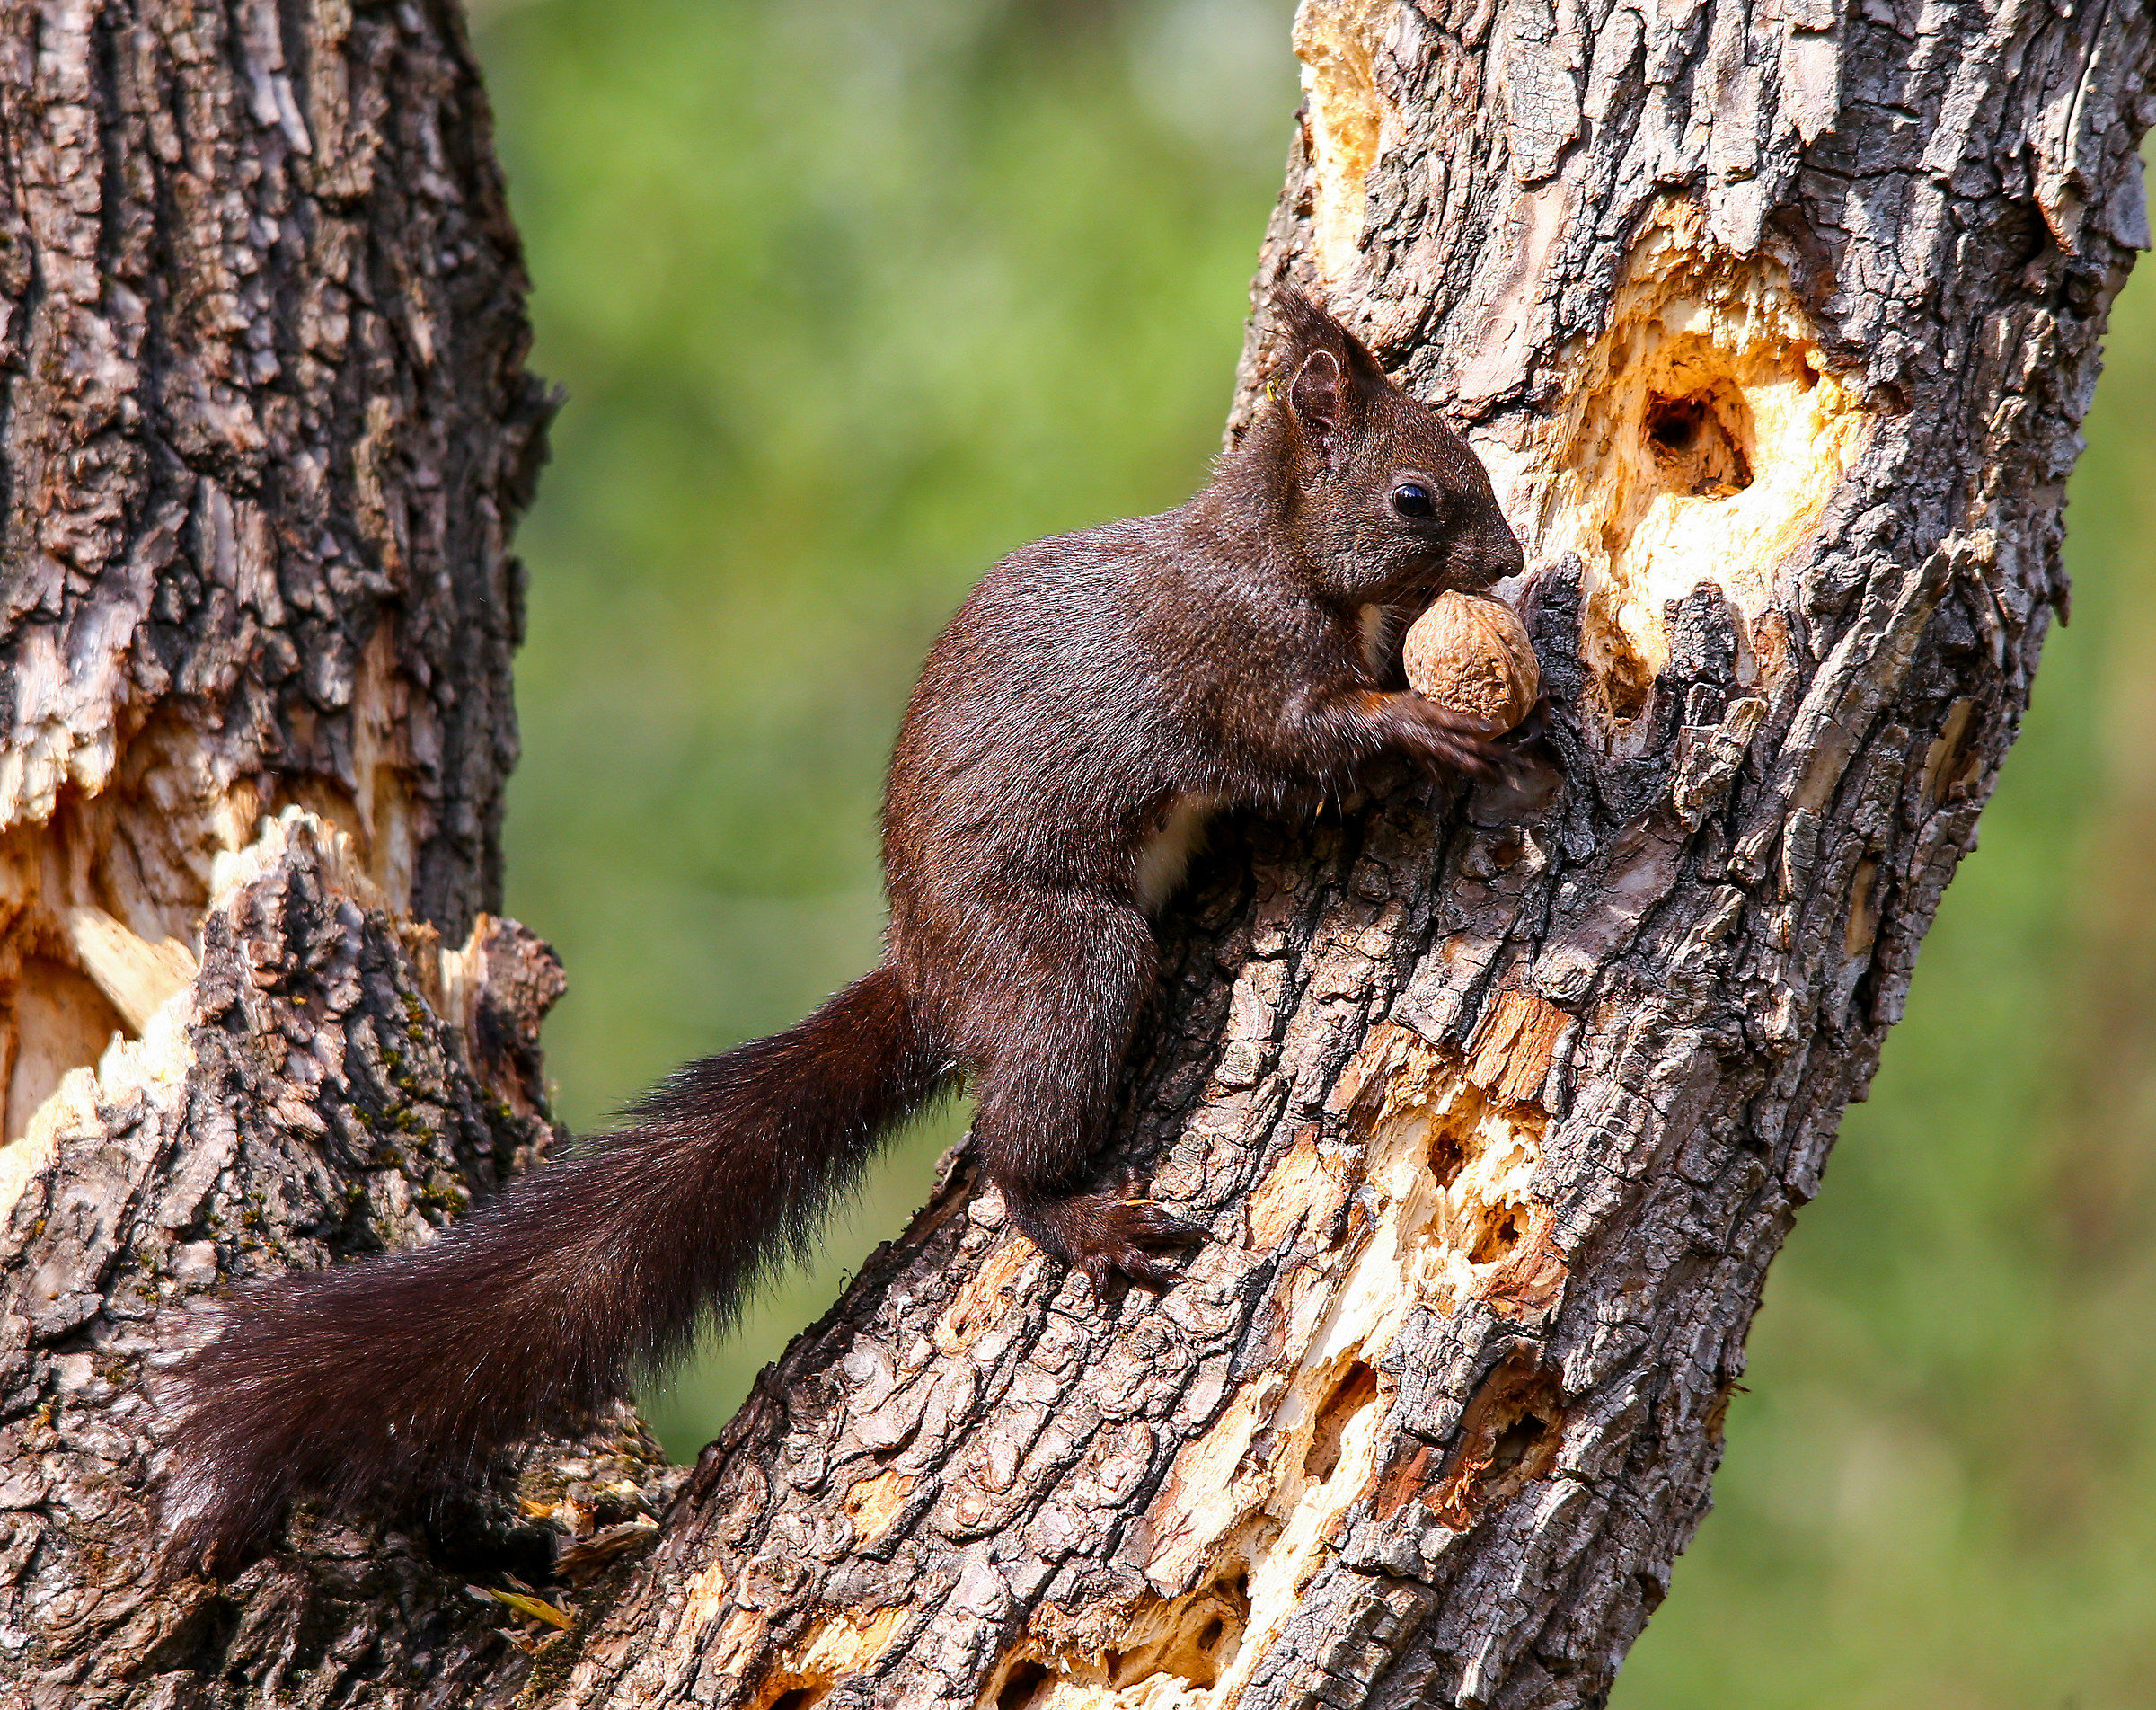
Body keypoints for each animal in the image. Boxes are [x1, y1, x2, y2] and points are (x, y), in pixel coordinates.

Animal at [161, 290, 1527, 1572]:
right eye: (1416, 496)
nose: (1511, 561)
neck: (1271, 545)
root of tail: (931, 970)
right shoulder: (1234, 662)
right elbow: (1303, 740)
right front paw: (1432, 727)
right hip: (1069, 958)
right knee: (1020, 1136)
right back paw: (1082, 1216)